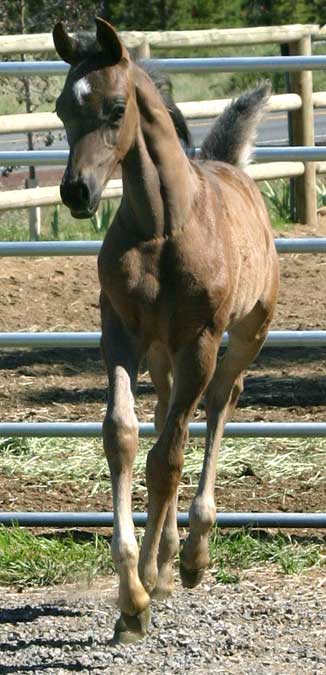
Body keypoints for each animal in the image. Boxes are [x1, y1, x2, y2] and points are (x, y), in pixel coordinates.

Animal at [53, 17, 280, 644]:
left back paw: (194, 555)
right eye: (61, 109)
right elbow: (124, 436)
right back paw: (172, 555)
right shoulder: (120, 334)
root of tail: (232, 167)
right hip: (160, 352)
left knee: (221, 404)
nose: (76, 192)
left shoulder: (199, 340)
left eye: (116, 108)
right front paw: (132, 597)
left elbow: (167, 459)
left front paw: (148, 586)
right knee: (164, 416)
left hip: (243, 335)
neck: (162, 227)